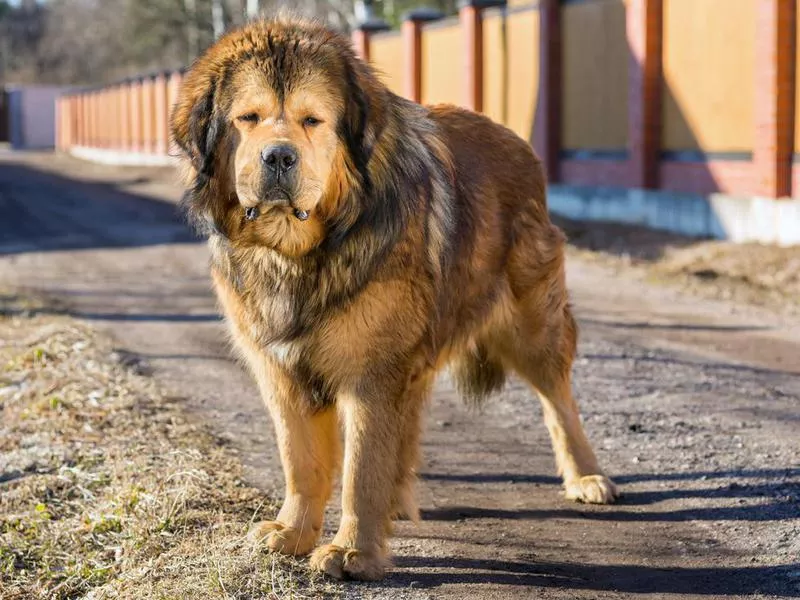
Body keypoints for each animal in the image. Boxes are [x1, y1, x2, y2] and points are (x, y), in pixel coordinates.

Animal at [170, 16, 620, 580]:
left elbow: (361, 469)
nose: (278, 156)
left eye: (312, 120)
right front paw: (293, 532)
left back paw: (586, 477)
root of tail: (516, 141)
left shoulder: (371, 372)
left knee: (559, 400)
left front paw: (353, 552)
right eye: (247, 119)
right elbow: (302, 462)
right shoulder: (282, 371)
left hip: (533, 326)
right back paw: (400, 500)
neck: (299, 254)